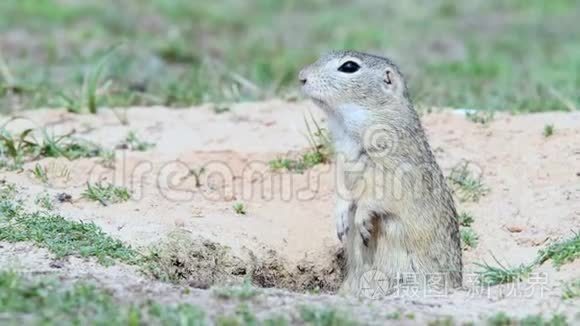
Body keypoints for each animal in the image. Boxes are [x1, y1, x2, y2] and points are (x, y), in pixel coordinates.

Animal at [300, 50, 462, 296]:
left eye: (349, 67)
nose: (301, 77)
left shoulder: (392, 168)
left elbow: (378, 195)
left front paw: (361, 221)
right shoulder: (342, 164)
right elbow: (343, 191)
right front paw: (340, 220)